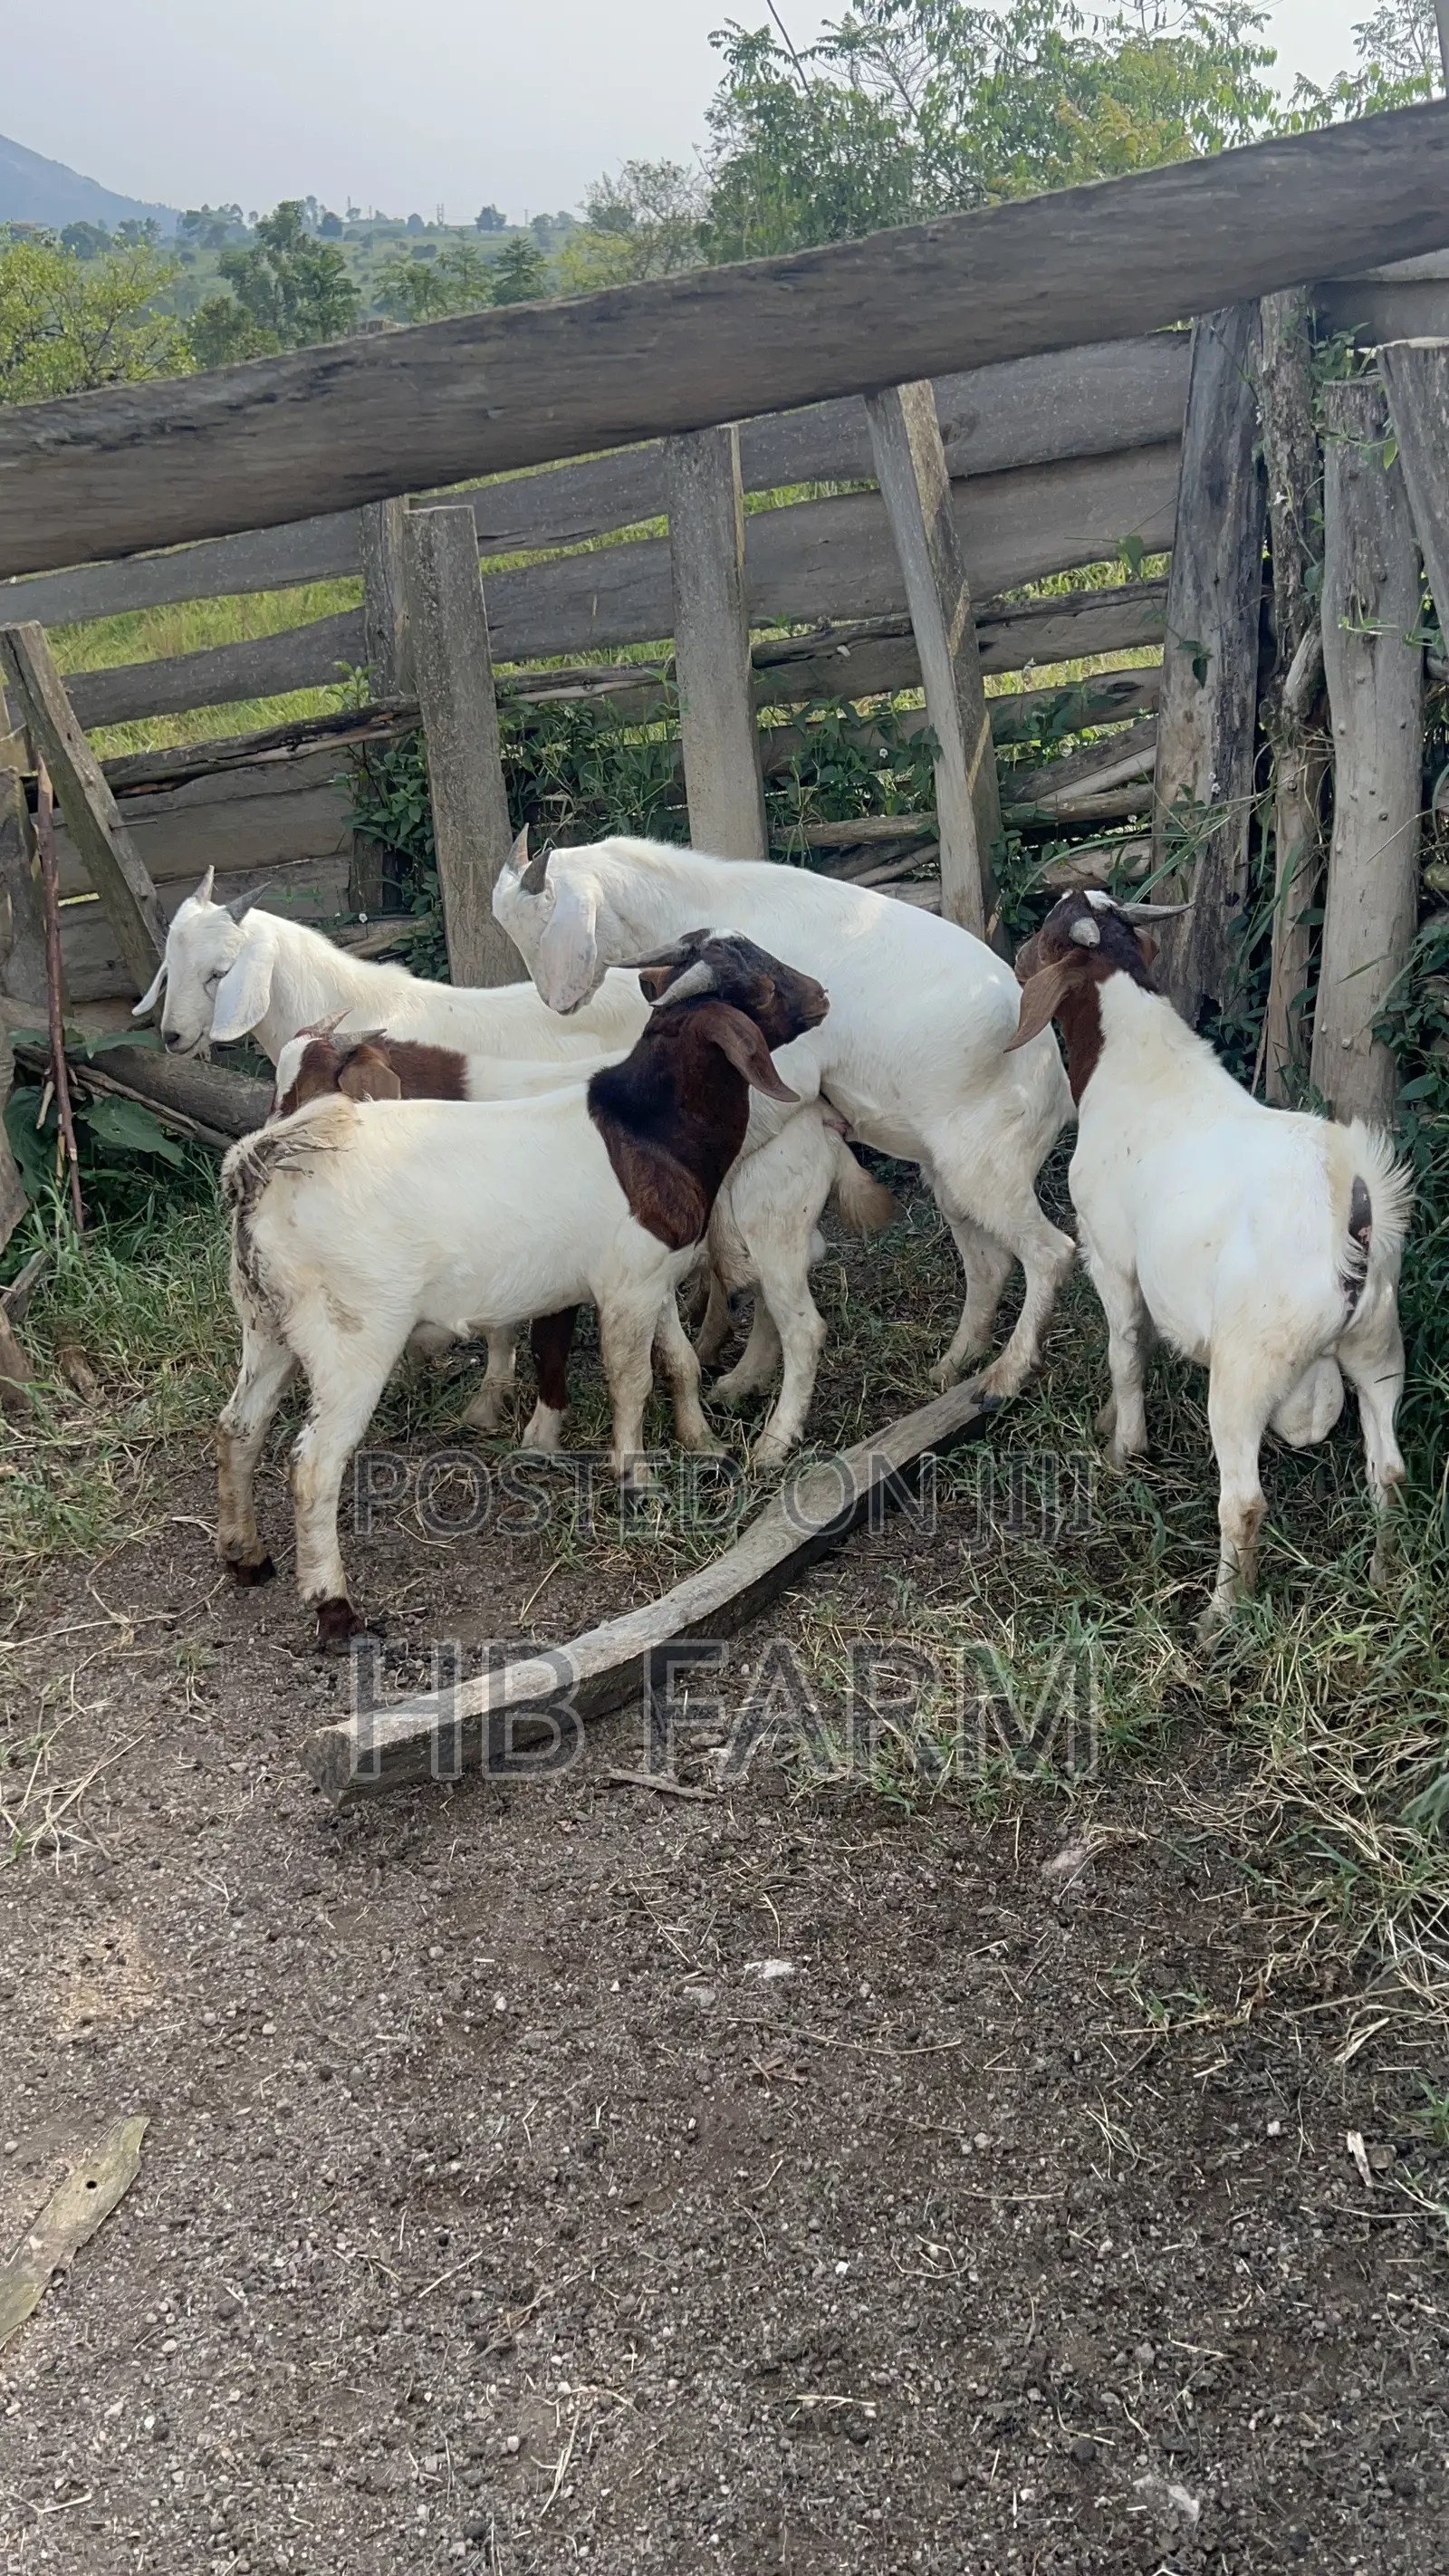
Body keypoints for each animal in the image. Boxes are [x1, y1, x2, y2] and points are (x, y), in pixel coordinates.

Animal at [216, 937, 827, 1646]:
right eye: (760, 986)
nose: (822, 996)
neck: (644, 1129)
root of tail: (262, 1168)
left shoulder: (650, 1278)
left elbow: (676, 1361)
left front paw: (702, 1445)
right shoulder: (625, 1288)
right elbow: (630, 1381)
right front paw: (635, 1482)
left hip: (268, 1324)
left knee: (239, 1426)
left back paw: (245, 1555)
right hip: (353, 1339)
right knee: (315, 1463)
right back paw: (335, 1610)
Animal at [493, 833, 1074, 1406]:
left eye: (544, 917)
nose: (559, 1003)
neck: (699, 898)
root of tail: (1058, 1086)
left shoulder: (783, 1080)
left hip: (989, 1167)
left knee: (1052, 1253)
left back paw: (1005, 1377)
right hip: (951, 1175)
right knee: (989, 1264)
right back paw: (954, 1365)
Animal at [1006, 889, 1412, 1635]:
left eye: (1047, 935)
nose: (1015, 958)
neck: (1136, 1064)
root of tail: (1351, 1209)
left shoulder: (1111, 1255)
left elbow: (1126, 1348)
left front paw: (1123, 1447)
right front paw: (1112, 1423)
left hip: (1247, 1366)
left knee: (1244, 1499)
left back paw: (1221, 1615)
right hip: (1379, 1342)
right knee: (1388, 1470)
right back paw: (1383, 1576)